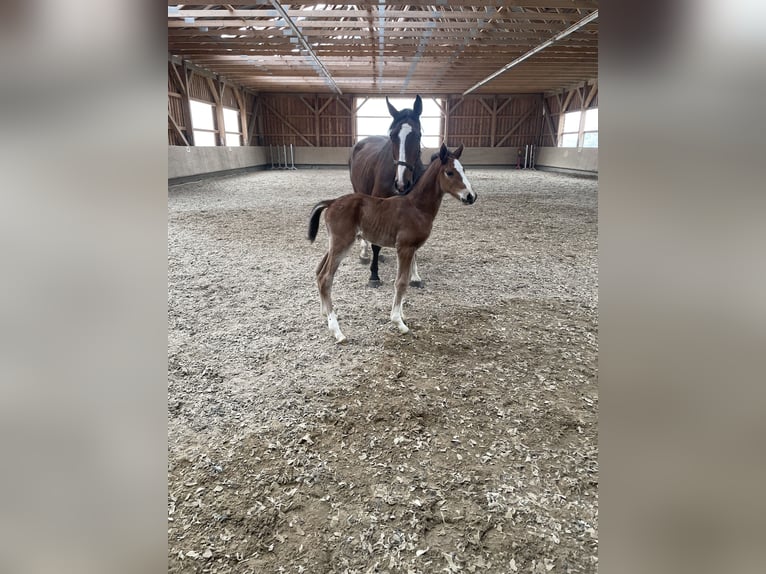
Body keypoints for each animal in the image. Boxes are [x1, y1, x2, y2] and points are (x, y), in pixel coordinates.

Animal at [308, 143, 477, 343]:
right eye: (449, 172)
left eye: (464, 170)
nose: (471, 196)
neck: (416, 207)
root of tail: (332, 202)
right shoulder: (405, 248)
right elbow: (401, 282)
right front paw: (399, 322)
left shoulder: (410, 249)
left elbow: (405, 280)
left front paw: (402, 315)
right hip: (342, 244)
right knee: (326, 278)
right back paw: (337, 331)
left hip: (334, 244)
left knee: (319, 271)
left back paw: (324, 314)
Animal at [349, 95, 426, 288]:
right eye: (392, 136)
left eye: (418, 135)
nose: (402, 183)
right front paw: (374, 275)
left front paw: (414, 275)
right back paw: (364, 253)